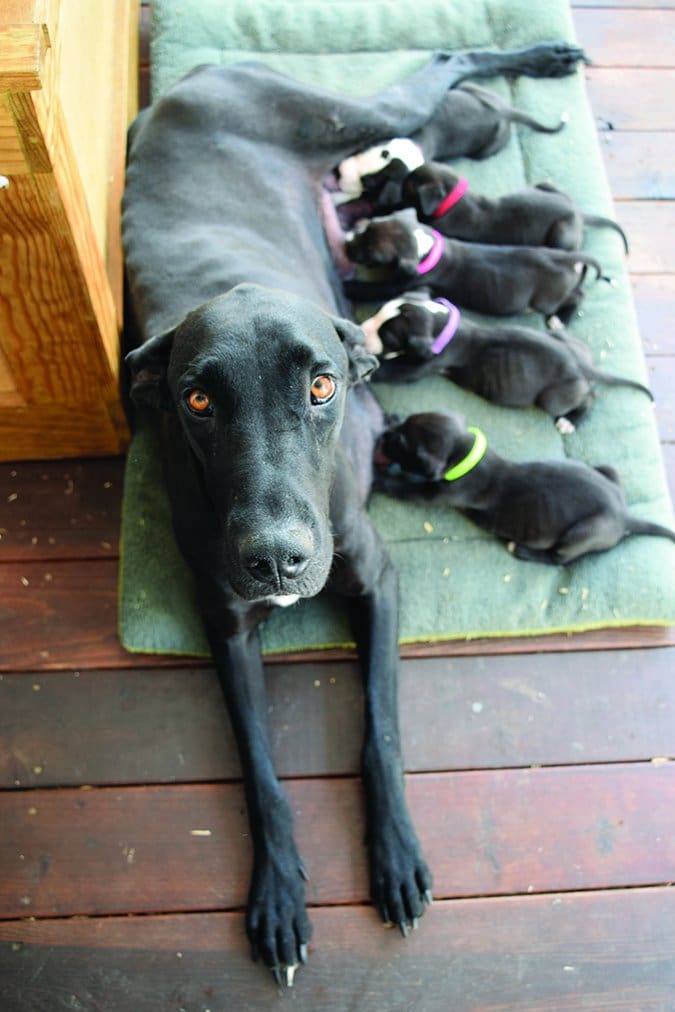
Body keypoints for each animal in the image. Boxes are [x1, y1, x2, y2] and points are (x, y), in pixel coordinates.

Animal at [122, 43, 591, 983]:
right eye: (196, 401)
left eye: (320, 386)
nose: (276, 560)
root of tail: (190, 83)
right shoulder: (225, 627)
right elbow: (260, 770)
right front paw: (277, 894)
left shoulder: (378, 580)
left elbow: (380, 731)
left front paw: (398, 857)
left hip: (347, 115)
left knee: (442, 63)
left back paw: (544, 57)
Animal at [362, 293, 651, 435]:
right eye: (378, 311)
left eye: (387, 336)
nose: (362, 330)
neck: (443, 325)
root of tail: (581, 364)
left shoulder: (417, 366)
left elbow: (389, 369)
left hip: (555, 398)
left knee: (589, 398)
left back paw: (570, 422)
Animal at [374, 410, 675, 570]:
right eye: (403, 426)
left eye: (402, 443)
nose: (384, 436)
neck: (466, 454)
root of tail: (625, 517)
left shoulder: (439, 493)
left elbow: (406, 488)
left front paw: (378, 478)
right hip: (608, 470)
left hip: (583, 533)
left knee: (559, 560)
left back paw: (523, 551)